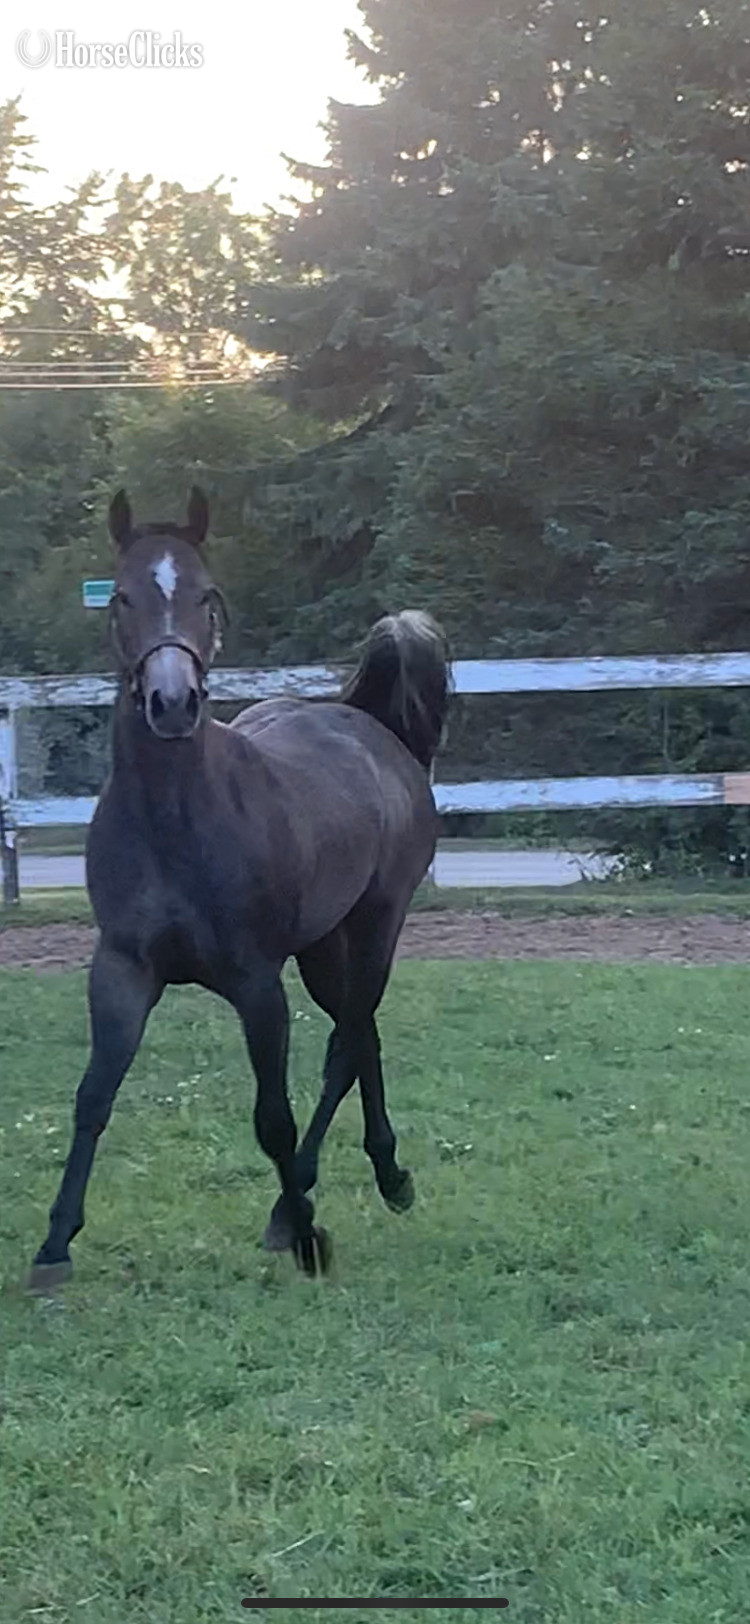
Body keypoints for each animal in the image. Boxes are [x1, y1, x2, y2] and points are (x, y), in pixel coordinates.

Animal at [27, 487, 451, 1289]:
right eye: (121, 597)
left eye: (209, 596)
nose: (172, 703)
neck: (176, 821)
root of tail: (370, 727)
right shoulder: (121, 970)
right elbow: (93, 1097)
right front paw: (54, 1245)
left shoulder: (257, 983)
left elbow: (273, 1117)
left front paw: (309, 1237)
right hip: (323, 946)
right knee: (363, 1037)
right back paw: (387, 1177)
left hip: (376, 926)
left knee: (347, 1044)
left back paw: (304, 1206)